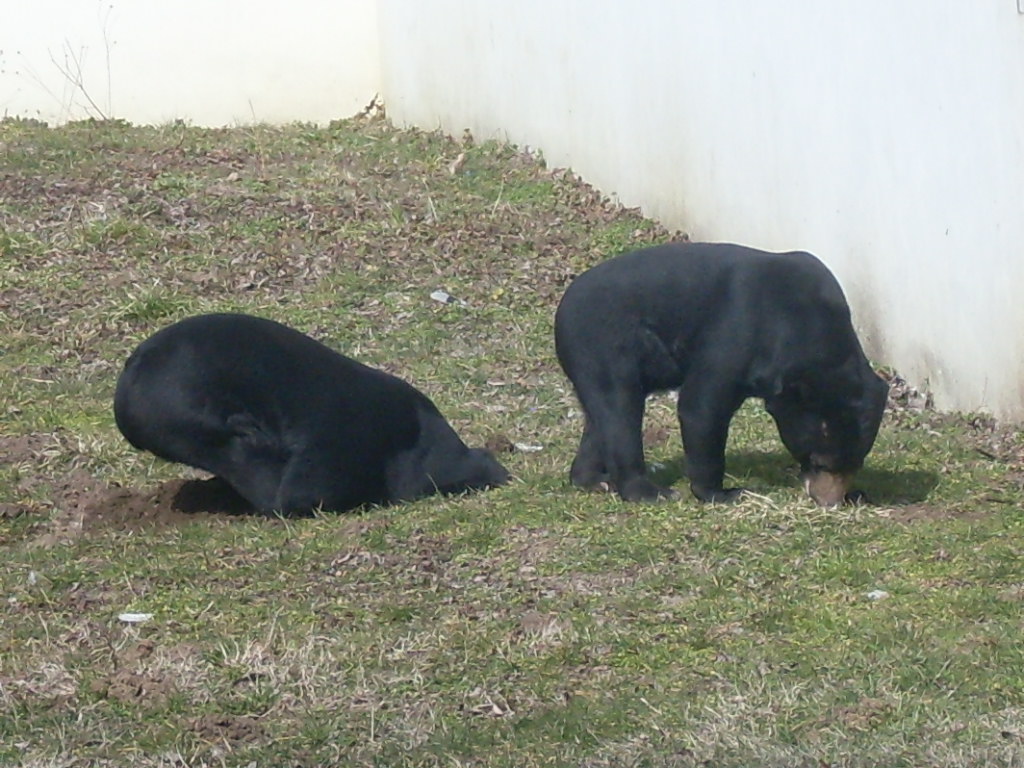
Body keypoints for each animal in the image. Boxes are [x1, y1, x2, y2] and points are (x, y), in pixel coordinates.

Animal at [554, 242, 888, 507]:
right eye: (818, 461)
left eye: (856, 463)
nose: (829, 501)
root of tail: (561, 309)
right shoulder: (736, 333)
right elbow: (701, 407)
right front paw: (723, 493)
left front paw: (857, 493)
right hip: (602, 346)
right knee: (620, 411)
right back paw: (650, 492)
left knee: (600, 420)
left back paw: (593, 479)